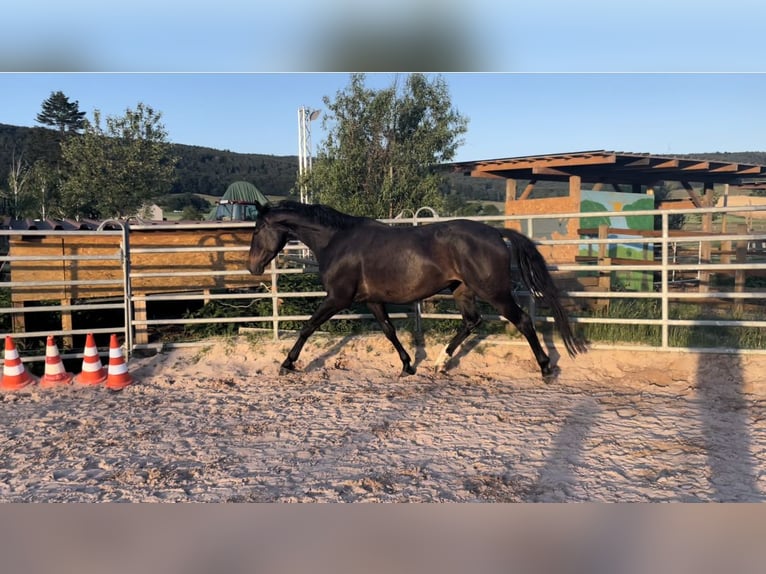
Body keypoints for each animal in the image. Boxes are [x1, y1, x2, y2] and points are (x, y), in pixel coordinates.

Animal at [248, 200, 588, 380]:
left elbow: (307, 327)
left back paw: (545, 368)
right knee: (471, 321)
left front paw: (287, 364)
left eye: (257, 229)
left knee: (523, 321)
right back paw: (439, 363)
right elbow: (389, 331)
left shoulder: (337, 298)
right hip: (462, 291)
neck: (337, 241)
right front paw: (407, 365)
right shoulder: (372, 300)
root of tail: (495, 232)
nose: (252, 267)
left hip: (496, 293)